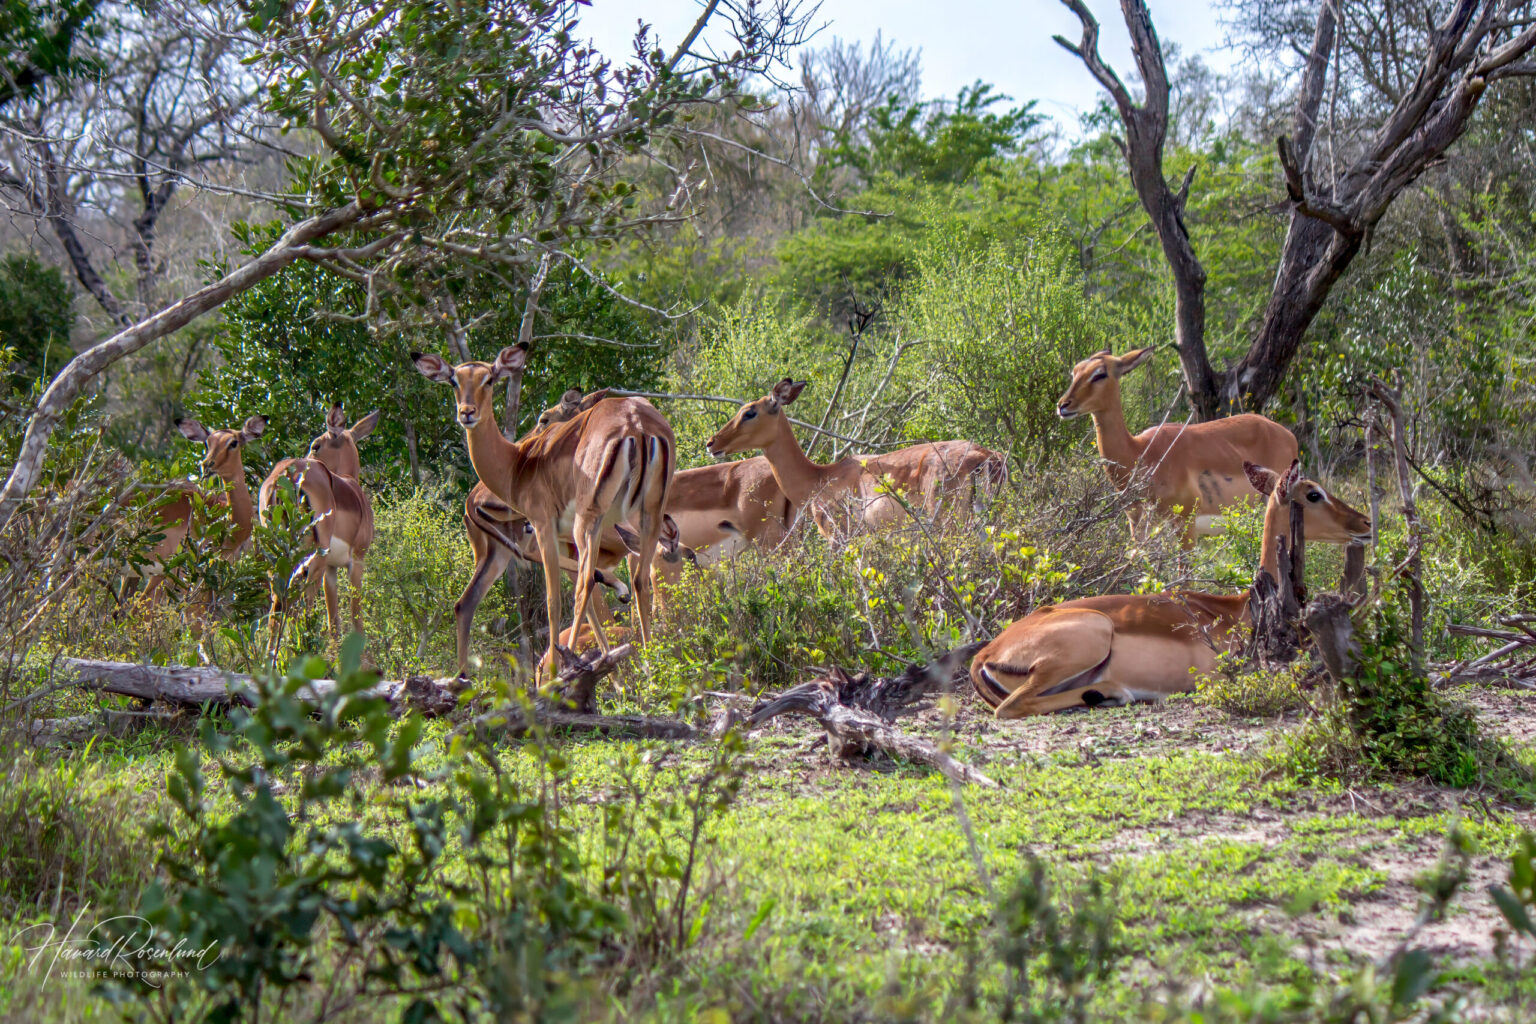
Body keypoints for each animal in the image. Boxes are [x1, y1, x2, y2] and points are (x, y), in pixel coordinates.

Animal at [258, 405, 377, 646]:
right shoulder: (357, 560)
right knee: (295, 594)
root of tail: (283, 474)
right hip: (313, 552)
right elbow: (356, 618)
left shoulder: (331, 569)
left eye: (315, 446)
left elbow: (334, 622)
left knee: (278, 598)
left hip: (278, 553)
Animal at [414, 344, 674, 678]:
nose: (467, 413)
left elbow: (554, 602)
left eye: (489, 379)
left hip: (583, 522)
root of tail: (636, 423)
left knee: (582, 587)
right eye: (453, 380)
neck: (517, 465)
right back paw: (652, 668)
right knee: (639, 581)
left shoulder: (543, 524)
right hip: (646, 515)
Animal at [969, 460, 1371, 717]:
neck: (1239, 609)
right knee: (1010, 708)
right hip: (1090, 638)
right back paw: (1112, 692)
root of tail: (986, 653)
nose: (1365, 522)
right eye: (1313, 493)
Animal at [1057, 347, 1300, 546]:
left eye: (1100, 373)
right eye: (1075, 371)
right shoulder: (1136, 525)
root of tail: (1288, 435)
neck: (1140, 452)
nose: (1063, 405)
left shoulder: (1186, 526)